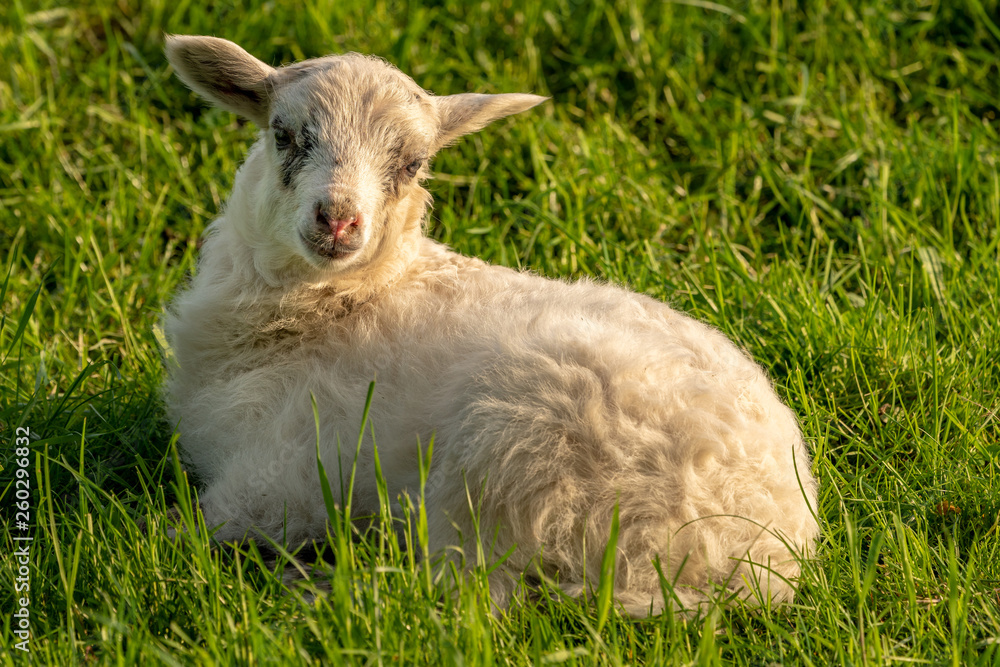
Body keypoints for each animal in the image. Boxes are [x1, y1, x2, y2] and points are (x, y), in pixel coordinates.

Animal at [161, 34, 820, 617]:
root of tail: (766, 554)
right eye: (283, 134)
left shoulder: (284, 474)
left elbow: (195, 527)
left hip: (513, 450)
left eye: (413, 163)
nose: (339, 220)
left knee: (469, 590)